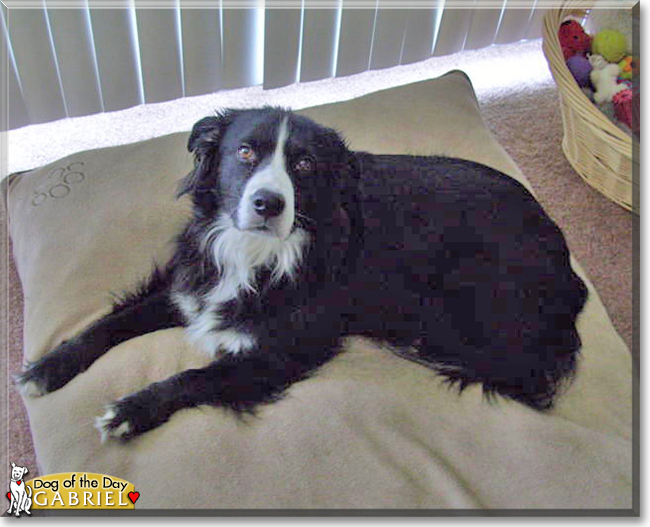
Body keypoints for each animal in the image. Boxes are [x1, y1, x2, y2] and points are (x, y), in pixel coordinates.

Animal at [15, 109, 584, 444]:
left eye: (305, 165)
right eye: (245, 152)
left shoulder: (284, 350)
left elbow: (198, 376)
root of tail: (565, 258)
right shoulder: (193, 285)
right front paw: (46, 368)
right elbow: (110, 324)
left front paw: (130, 410)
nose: (269, 203)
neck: (258, 251)